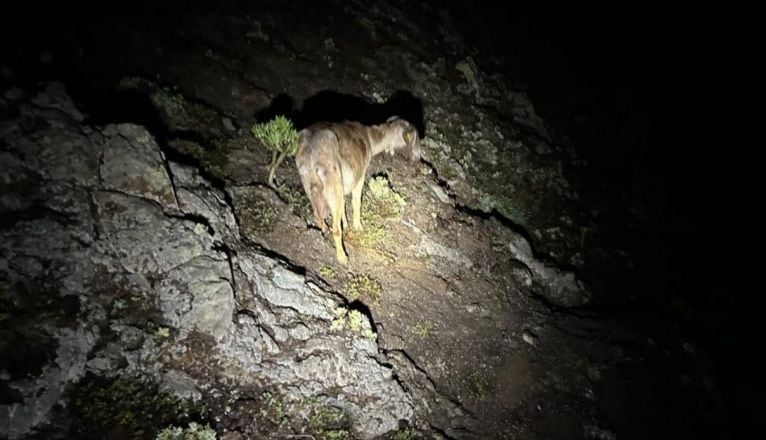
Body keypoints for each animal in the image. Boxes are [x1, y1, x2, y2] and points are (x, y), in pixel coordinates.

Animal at [296, 115, 424, 264]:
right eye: (417, 139)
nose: (418, 159)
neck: (370, 137)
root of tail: (310, 149)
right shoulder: (360, 176)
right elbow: (356, 202)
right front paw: (358, 227)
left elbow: (344, 208)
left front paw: (346, 225)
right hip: (333, 183)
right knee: (336, 229)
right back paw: (342, 257)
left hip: (310, 185)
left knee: (318, 216)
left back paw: (324, 231)